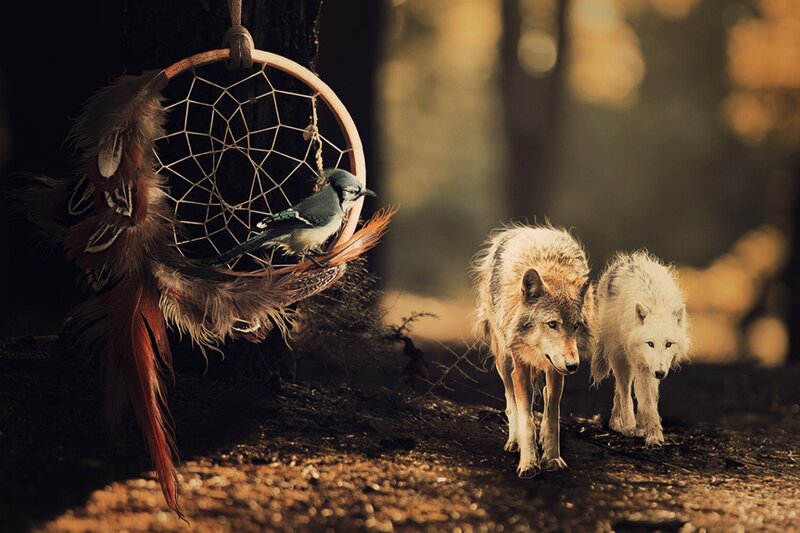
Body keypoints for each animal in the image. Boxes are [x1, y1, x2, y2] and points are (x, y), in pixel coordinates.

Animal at [473, 225, 593, 477]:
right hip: (504, 360)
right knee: (510, 402)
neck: (550, 271)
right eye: (552, 324)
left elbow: (553, 417)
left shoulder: (556, 369)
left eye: (576, 326)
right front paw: (528, 462)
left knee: (546, 397)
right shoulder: (520, 368)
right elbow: (525, 419)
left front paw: (552, 457)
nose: (573, 366)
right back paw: (513, 442)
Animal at [590, 250, 691, 446]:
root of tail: (627, 259)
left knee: (621, 390)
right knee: (623, 390)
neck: (656, 302)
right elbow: (646, 402)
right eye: (650, 343)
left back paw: (618, 422)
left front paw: (646, 429)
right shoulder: (642, 365)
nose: (660, 373)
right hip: (620, 356)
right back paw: (627, 425)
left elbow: (649, 398)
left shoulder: (652, 367)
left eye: (668, 344)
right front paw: (653, 437)